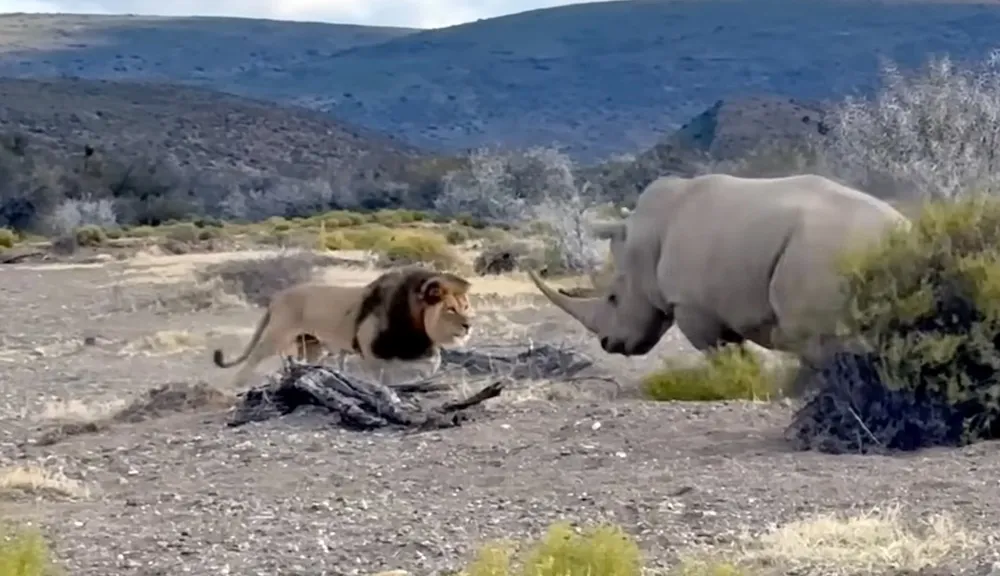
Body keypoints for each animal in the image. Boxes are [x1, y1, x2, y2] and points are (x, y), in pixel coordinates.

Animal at [212, 266, 475, 389]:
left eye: (466, 306)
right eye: (450, 309)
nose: (468, 326)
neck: (418, 328)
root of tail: (277, 297)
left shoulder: (423, 349)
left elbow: (434, 362)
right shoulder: (370, 349)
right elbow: (382, 374)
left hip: (311, 345)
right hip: (277, 335)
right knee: (252, 359)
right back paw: (235, 386)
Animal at [529, 173, 910, 364]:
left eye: (612, 298)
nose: (609, 343)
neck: (643, 239)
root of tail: (903, 230)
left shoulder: (692, 305)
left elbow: (719, 353)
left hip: (825, 250)